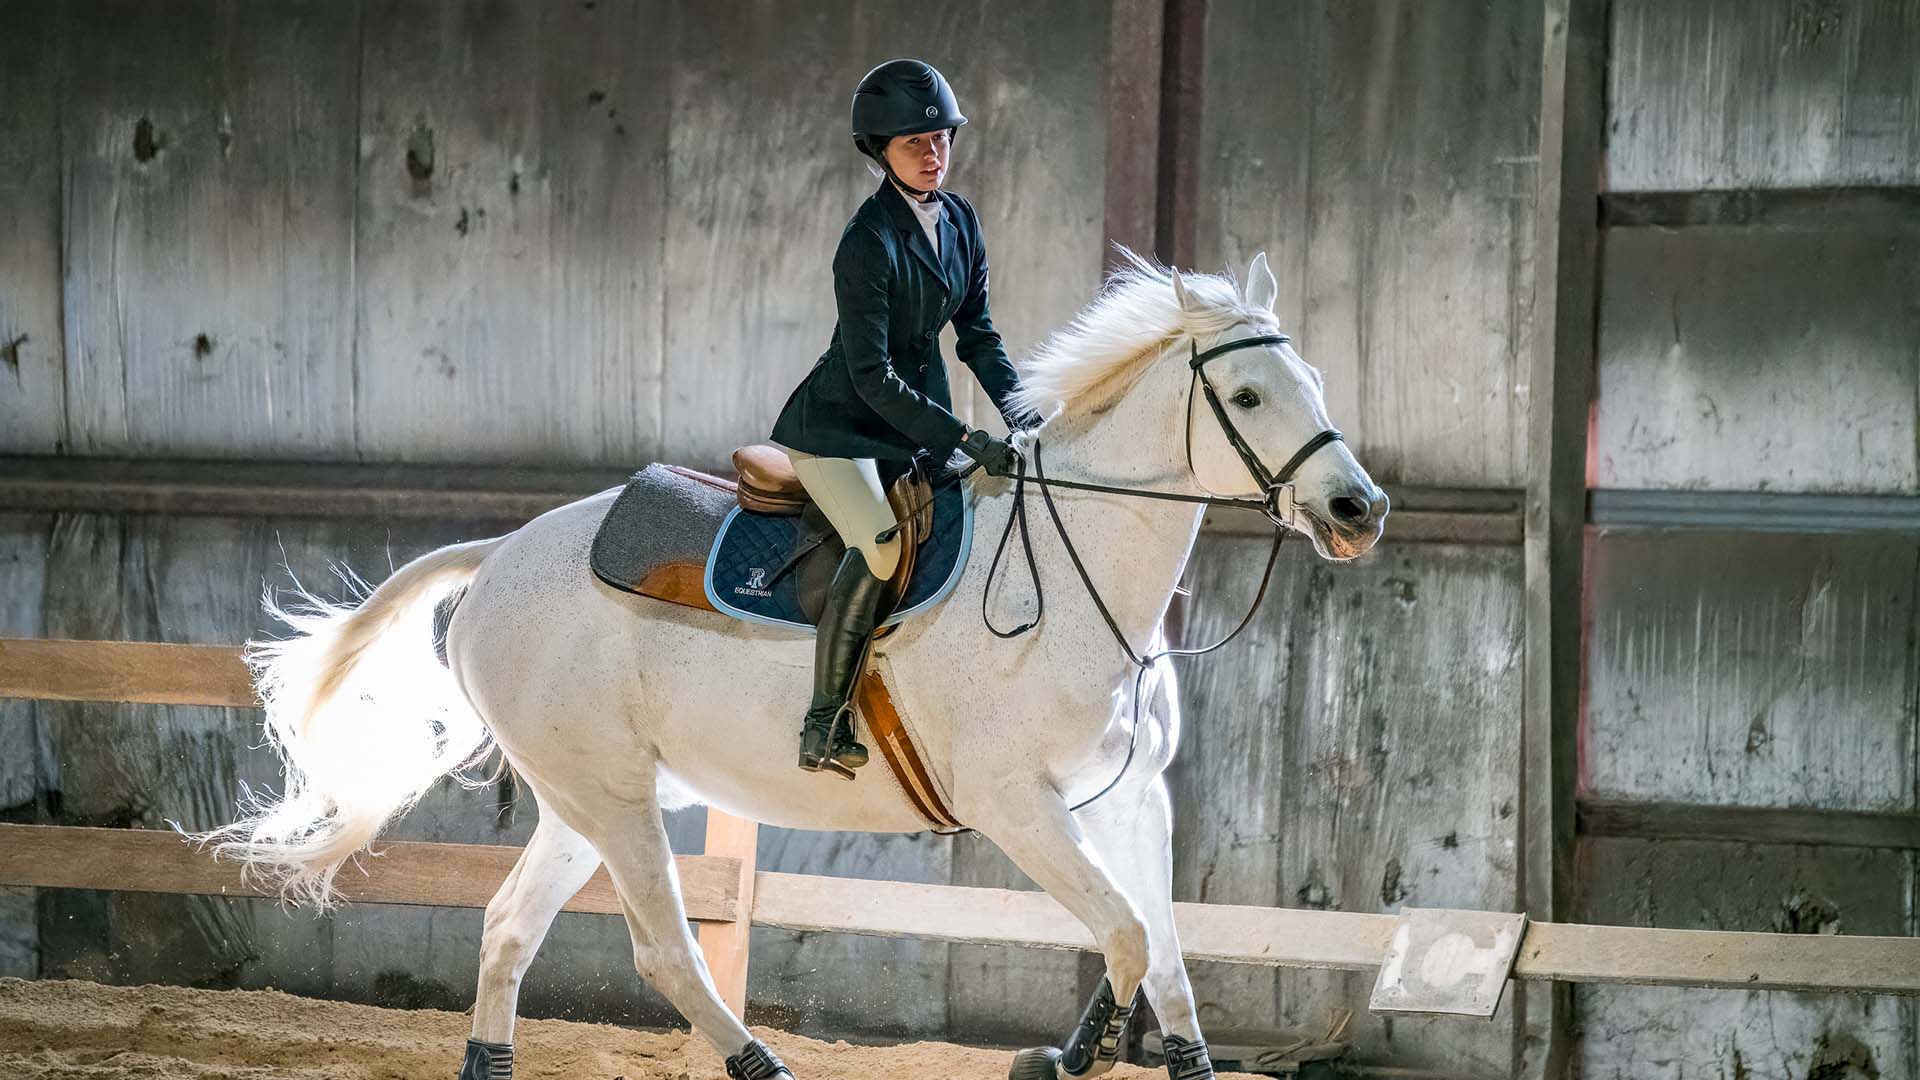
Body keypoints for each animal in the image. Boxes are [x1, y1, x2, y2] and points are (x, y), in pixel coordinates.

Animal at [206, 251, 1382, 1076]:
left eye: (1317, 379)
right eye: (1247, 399)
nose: (1357, 510)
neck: (1076, 565)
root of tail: (500, 554)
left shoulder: (1133, 800)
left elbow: (1168, 963)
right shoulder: (1018, 803)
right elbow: (1130, 939)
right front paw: (1056, 1060)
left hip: (585, 798)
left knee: (506, 931)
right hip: (613, 802)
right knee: (663, 952)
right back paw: (762, 1065)